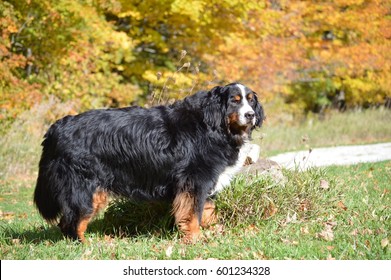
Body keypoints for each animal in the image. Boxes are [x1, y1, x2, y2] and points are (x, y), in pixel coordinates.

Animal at [34, 82, 266, 243]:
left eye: (251, 101)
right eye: (235, 100)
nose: (250, 115)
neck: (214, 125)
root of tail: (57, 127)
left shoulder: (204, 183)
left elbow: (208, 211)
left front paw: (214, 231)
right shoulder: (194, 180)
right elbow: (192, 213)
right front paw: (195, 238)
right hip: (84, 187)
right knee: (73, 221)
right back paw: (85, 245)